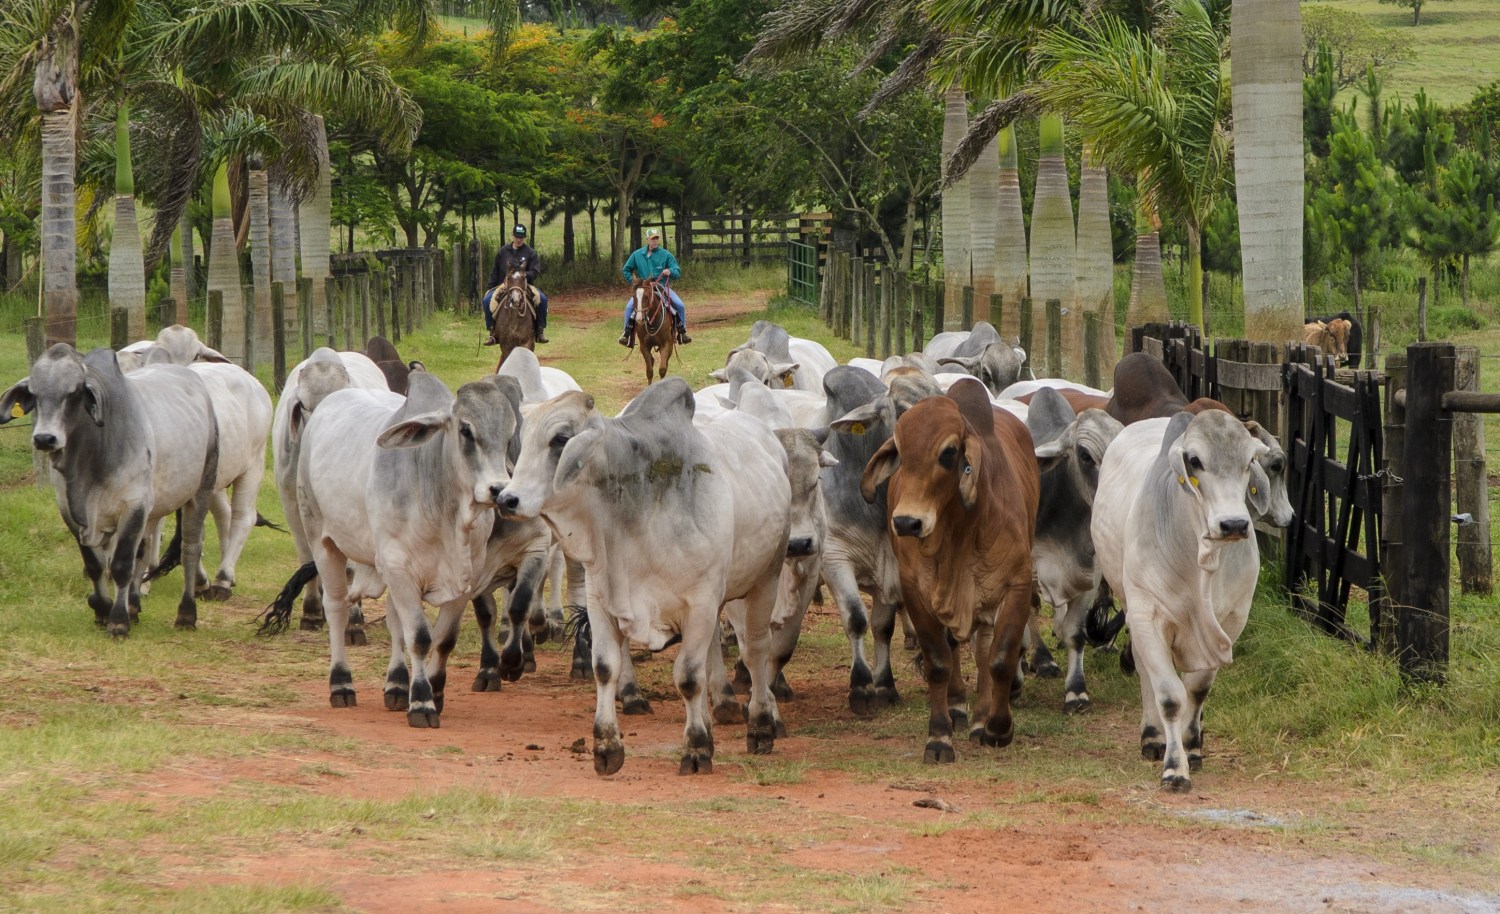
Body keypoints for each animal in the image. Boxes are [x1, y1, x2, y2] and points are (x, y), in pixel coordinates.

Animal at [2, 345, 219, 639]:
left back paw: (186, 613)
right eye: (34, 395)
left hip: (201, 490)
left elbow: (120, 565)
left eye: (74, 392)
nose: (44, 438)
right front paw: (102, 609)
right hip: (153, 510)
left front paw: (117, 621)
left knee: (189, 549)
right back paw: (135, 606)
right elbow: (96, 566)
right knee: (144, 551)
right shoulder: (71, 512)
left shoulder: (133, 505)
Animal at [864, 378, 1038, 762]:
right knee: (955, 647)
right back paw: (959, 708)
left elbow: (1000, 658)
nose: (907, 522)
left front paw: (998, 728)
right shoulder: (916, 590)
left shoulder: (1016, 585)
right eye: (900, 453)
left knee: (983, 649)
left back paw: (981, 717)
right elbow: (938, 662)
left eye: (948, 452)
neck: (961, 529)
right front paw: (939, 736)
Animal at [1092, 411, 1266, 786]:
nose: (1233, 524)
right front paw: (1174, 766)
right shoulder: (1147, 616)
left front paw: (1193, 747)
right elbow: (1171, 697)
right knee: (1146, 672)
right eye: (1195, 461)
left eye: (1249, 462)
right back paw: (1152, 736)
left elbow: (1197, 690)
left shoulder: (1231, 623)